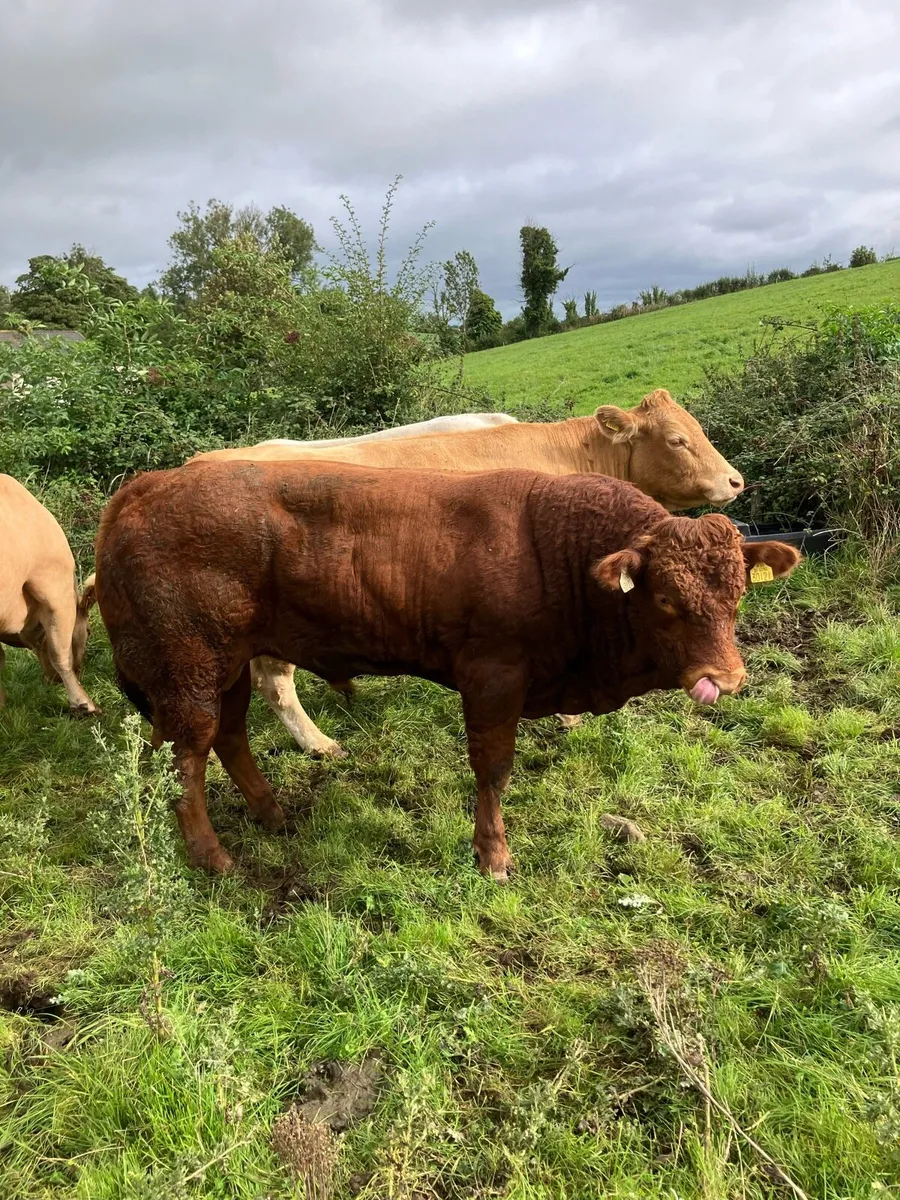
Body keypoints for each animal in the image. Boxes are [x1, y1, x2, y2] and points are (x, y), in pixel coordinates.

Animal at [94, 459, 797, 878]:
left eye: (738, 593)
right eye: (667, 600)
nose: (725, 678)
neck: (555, 549)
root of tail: (145, 486)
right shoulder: (492, 675)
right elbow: (493, 768)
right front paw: (493, 855)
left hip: (228, 666)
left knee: (230, 736)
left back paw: (272, 814)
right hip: (189, 672)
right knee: (185, 760)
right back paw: (215, 858)